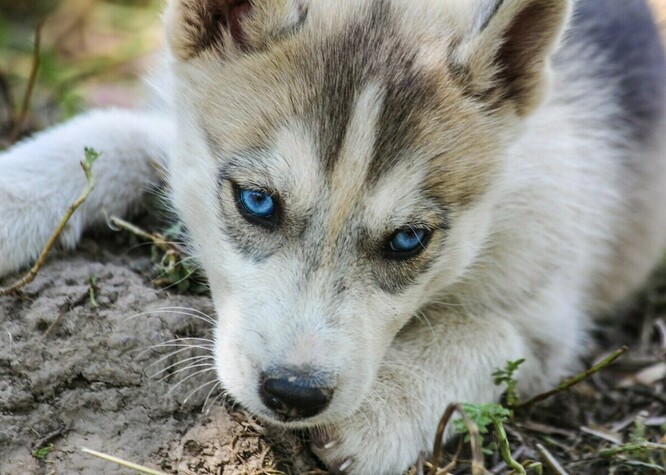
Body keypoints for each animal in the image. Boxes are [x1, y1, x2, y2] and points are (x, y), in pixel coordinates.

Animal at [1, 0, 664, 474]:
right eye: (258, 202)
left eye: (408, 240)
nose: (294, 395)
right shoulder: (177, 137)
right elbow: (112, 132)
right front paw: (15, 196)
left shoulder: (552, 310)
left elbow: (483, 332)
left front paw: (380, 413)